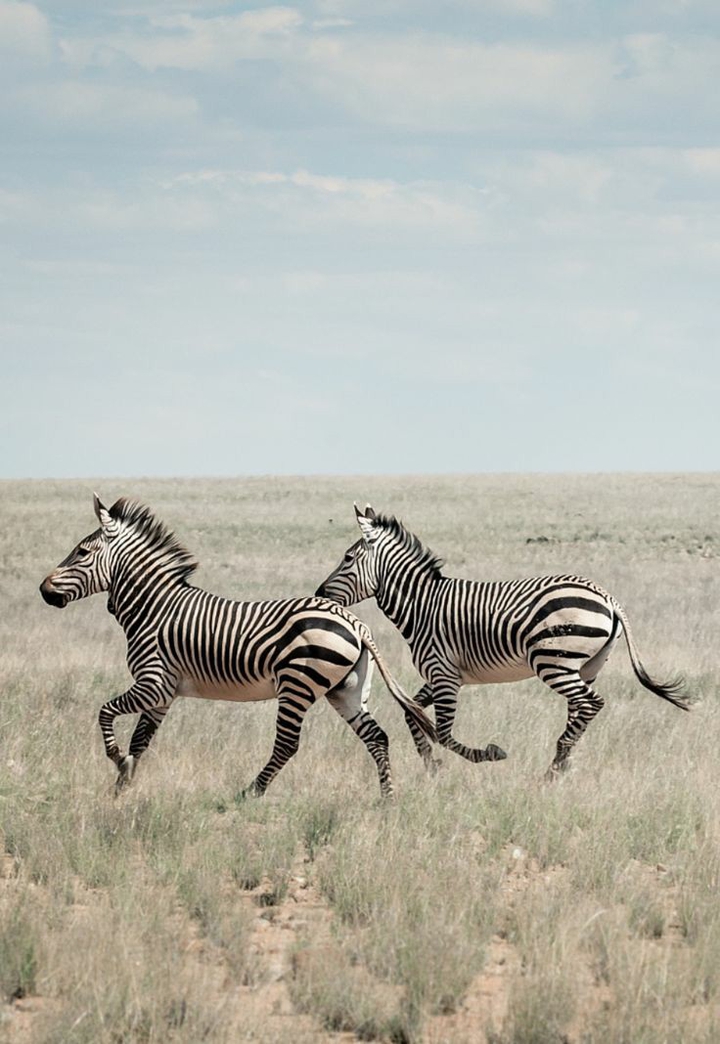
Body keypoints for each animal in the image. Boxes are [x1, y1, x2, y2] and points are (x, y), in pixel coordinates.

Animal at [39, 495, 436, 797]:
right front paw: (122, 787)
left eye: (81, 552)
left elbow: (104, 712)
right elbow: (140, 741)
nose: (44, 590)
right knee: (377, 737)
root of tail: (355, 622)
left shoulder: (153, 683)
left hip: (297, 685)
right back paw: (387, 799)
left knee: (288, 744)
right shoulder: (164, 694)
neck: (154, 607)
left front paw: (117, 762)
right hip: (346, 689)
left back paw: (250, 792)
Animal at [315, 505, 690, 777]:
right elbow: (414, 715)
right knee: (580, 708)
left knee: (590, 704)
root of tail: (609, 598)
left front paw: (488, 754)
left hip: (553, 662)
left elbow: (444, 732)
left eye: (347, 558)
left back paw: (554, 766)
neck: (423, 605)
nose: (319, 593)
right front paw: (431, 765)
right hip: (587, 666)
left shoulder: (443, 674)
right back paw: (562, 763)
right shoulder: (440, 675)